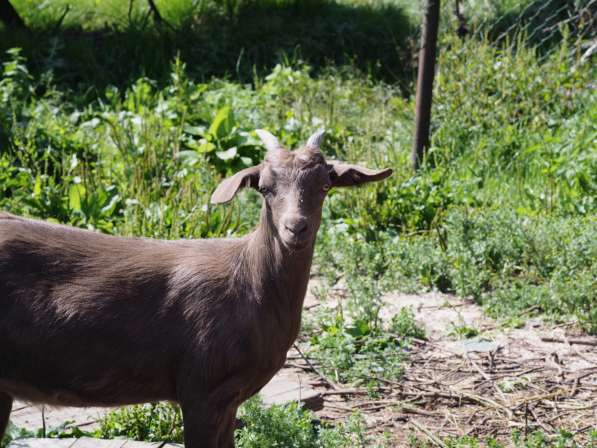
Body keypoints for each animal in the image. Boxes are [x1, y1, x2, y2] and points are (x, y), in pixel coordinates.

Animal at [0, 129, 392, 444]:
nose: (296, 227)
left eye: (325, 185)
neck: (250, 286)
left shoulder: (229, 398)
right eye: (265, 188)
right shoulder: (202, 389)